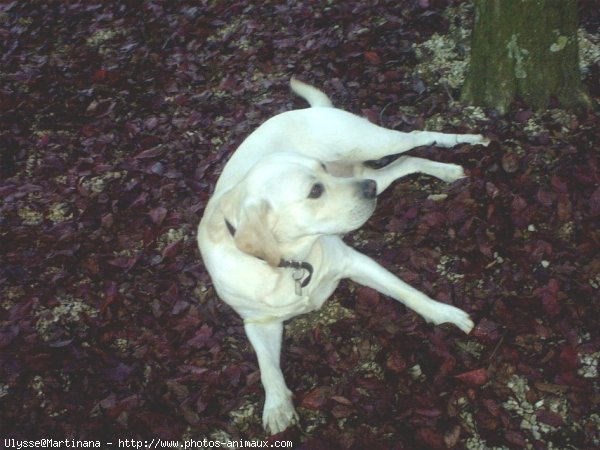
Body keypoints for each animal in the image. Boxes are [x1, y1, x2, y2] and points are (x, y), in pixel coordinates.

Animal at [199, 79, 490, 434]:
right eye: (315, 191)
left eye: (321, 169)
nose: (367, 190)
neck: (290, 263)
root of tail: (311, 109)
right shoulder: (257, 322)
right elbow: (267, 367)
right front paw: (277, 405)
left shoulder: (356, 262)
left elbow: (410, 293)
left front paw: (445, 313)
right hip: (374, 170)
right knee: (404, 162)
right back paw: (441, 170)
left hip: (371, 143)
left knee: (417, 136)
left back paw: (463, 143)